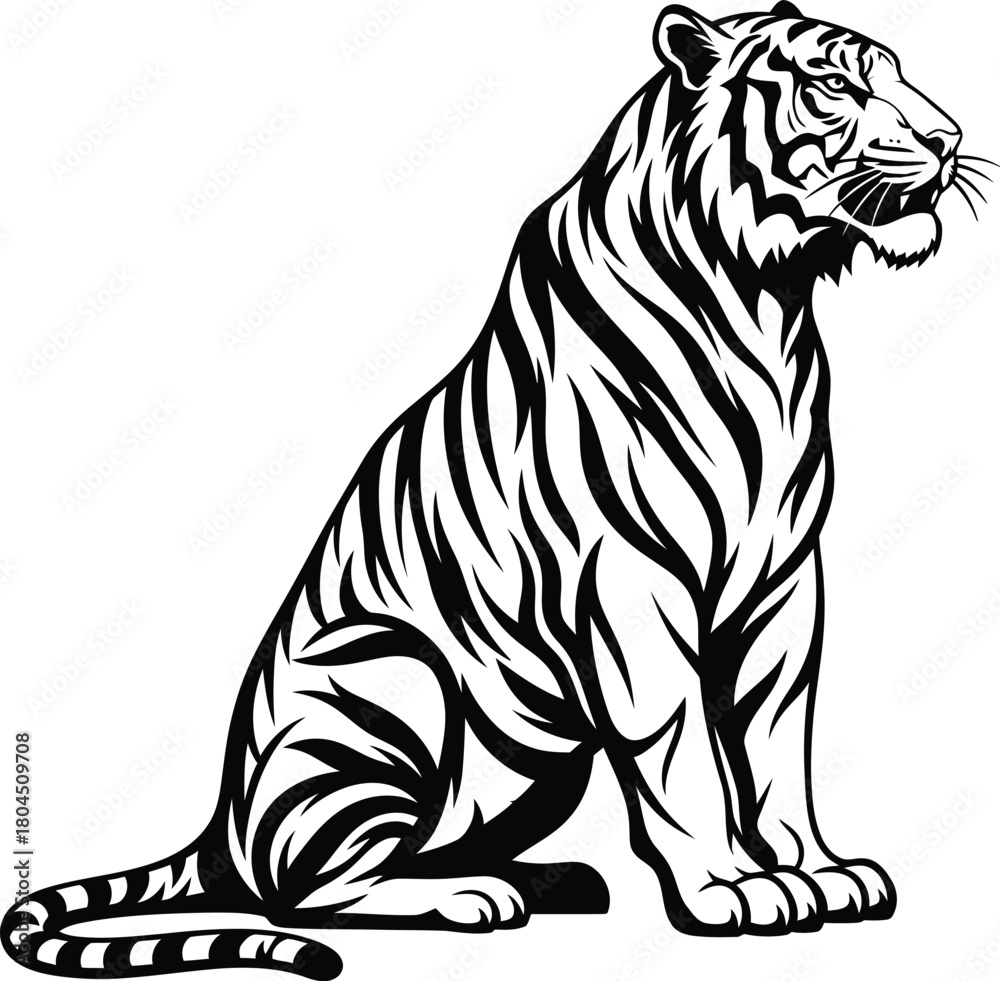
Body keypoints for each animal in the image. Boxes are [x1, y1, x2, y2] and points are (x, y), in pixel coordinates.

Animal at [5, 3, 988, 978]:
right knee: (309, 884)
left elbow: (778, 736)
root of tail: (219, 824)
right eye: (834, 84)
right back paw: (471, 896)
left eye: (897, 73)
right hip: (396, 671)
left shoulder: (783, 579)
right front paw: (729, 889)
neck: (766, 300)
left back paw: (556, 877)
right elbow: (681, 747)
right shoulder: (632, 577)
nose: (949, 138)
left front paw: (818, 869)